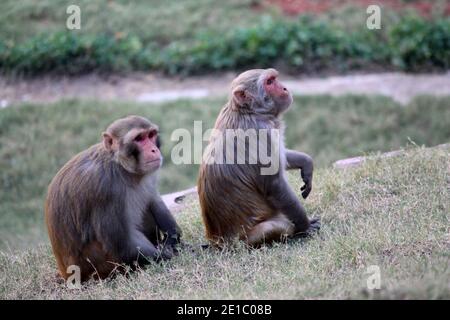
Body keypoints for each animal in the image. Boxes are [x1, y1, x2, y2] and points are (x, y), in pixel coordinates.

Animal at [44, 116, 181, 282]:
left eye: (150, 135)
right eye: (139, 138)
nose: (154, 150)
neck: (120, 167)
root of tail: (66, 273)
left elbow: (154, 201)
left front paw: (172, 239)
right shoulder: (104, 189)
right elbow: (123, 245)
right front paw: (172, 254)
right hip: (99, 267)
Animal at [198, 67, 320, 248]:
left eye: (274, 79)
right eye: (269, 82)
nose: (285, 88)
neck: (248, 111)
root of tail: (218, 242)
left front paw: (306, 164)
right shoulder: (261, 131)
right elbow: (275, 186)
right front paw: (305, 226)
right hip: (245, 239)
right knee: (277, 226)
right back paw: (293, 233)